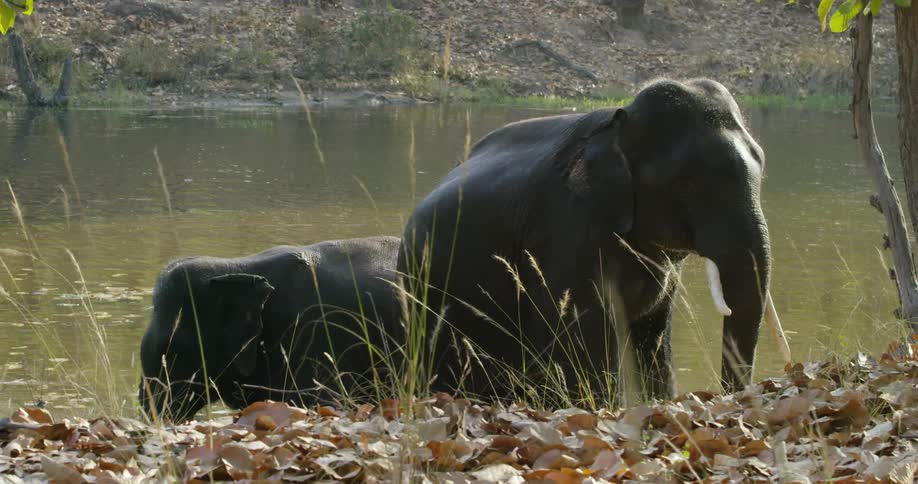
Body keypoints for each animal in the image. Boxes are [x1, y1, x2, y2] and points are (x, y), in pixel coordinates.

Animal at [397, 78, 786, 403]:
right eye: (684, 185)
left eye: (763, 166)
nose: (732, 395)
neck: (617, 125)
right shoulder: (564, 233)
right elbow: (585, 342)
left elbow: (655, 335)